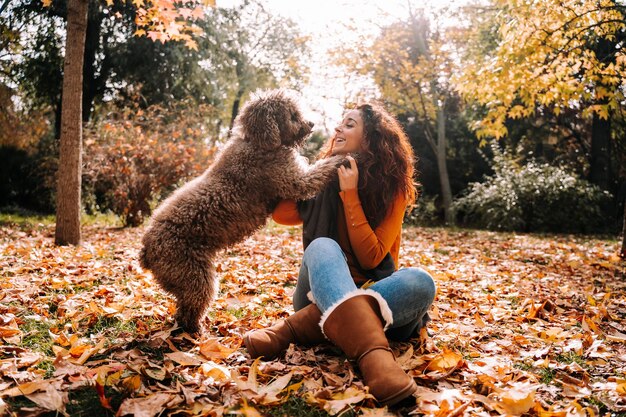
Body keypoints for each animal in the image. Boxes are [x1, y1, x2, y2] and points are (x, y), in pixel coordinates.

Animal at [139, 90, 342, 332]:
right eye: (292, 115)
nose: (310, 124)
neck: (256, 141)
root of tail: (147, 250)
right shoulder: (295, 180)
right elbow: (319, 171)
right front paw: (339, 159)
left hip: (181, 279)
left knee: (181, 309)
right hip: (194, 276)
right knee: (192, 306)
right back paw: (196, 331)